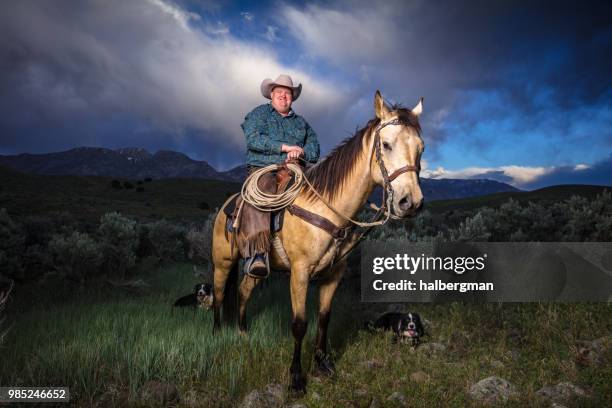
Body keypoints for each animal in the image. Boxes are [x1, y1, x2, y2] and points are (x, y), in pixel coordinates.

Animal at [209, 90, 420, 392]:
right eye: (387, 144)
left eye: (421, 148)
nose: (410, 202)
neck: (327, 207)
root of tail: (227, 206)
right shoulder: (299, 272)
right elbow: (299, 324)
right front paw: (296, 378)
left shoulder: (333, 274)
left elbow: (323, 318)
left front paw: (323, 364)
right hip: (223, 262)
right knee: (218, 295)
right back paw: (217, 333)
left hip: (256, 267)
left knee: (243, 290)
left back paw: (242, 332)